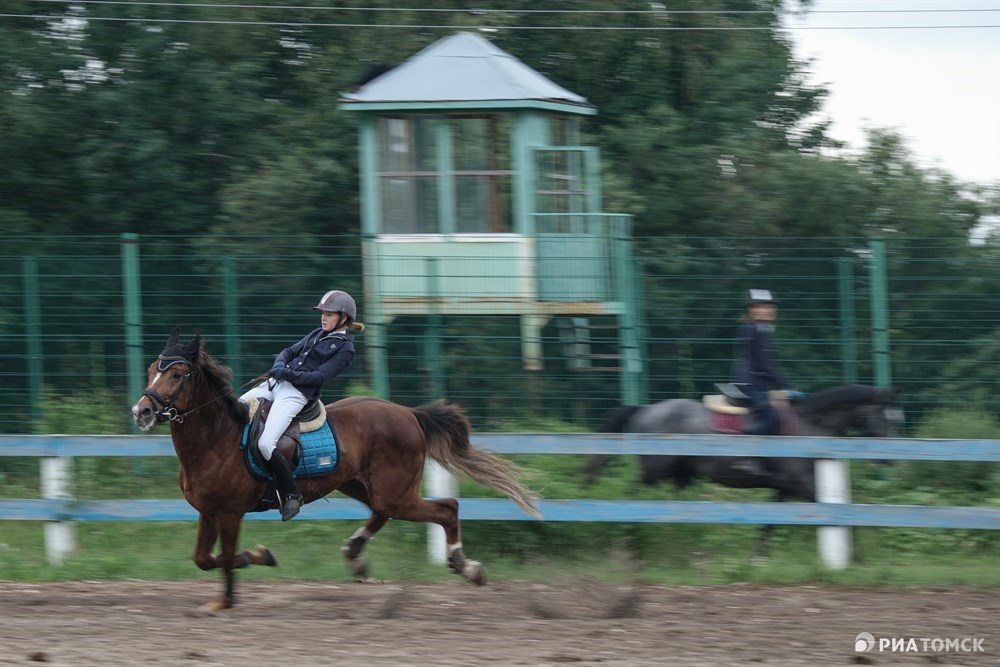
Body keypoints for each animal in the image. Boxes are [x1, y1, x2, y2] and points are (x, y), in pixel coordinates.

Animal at [133, 328, 544, 616]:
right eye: (153, 369)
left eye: (178, 375)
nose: (143, 412)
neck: (218, 438)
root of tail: (409, 413)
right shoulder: (208, 512)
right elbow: (204, 559)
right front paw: (247, 569)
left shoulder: (230, 513)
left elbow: (228, 557)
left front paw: (242, 579)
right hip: (361, 485)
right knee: (382, 513)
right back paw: (356, 553)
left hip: (394, 492)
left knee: (446, 508)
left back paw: (464, 565)